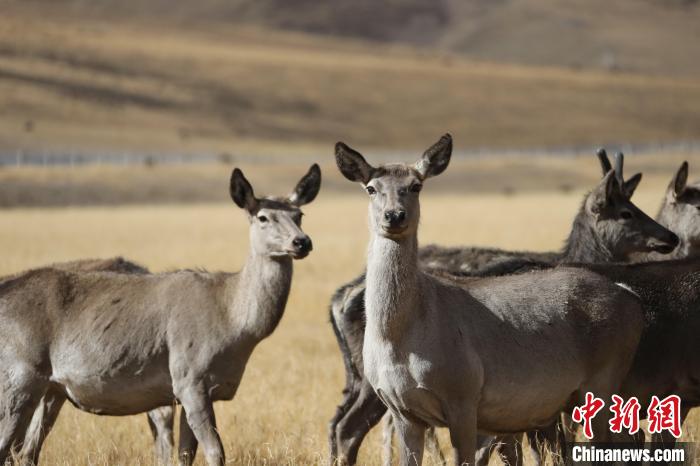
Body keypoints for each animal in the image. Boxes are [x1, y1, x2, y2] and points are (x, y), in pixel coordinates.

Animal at [0, 164, 322, 466]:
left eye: (300, 214)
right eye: (263, 217)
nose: (302, 242)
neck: (234, 323)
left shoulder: (195, 390)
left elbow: (186, 455)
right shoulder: (189, 377)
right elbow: (216, 453)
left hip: (51, 389)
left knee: (26, 452)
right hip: (19, 375)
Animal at [328, 149, 680, 466]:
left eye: (416, 185)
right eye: (371, 188)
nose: (394, 215)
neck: (401, 341)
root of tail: (630, 297)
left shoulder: (465, 395)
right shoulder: (403, 410)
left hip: (604, 380)